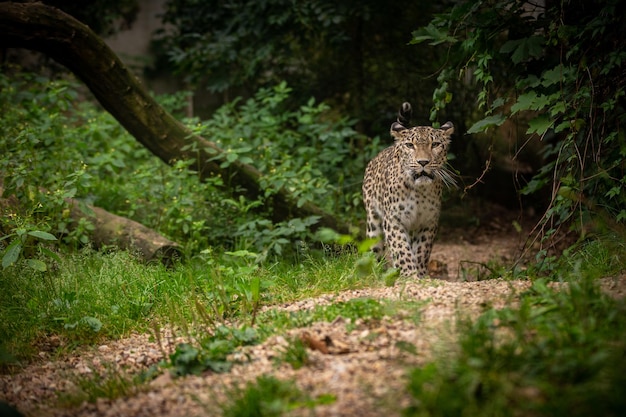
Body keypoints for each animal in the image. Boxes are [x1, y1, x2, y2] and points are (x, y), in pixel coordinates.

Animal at [360, 101, 454, 276]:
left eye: (435, 144)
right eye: (410, 145)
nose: (423, 162)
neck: (420, 191)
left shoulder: (428, 221)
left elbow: (421, 251)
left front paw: (421, 274)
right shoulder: (393, 220)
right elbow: (401, 249)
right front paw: (409, 274)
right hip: (373, 221)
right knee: (375, 249)